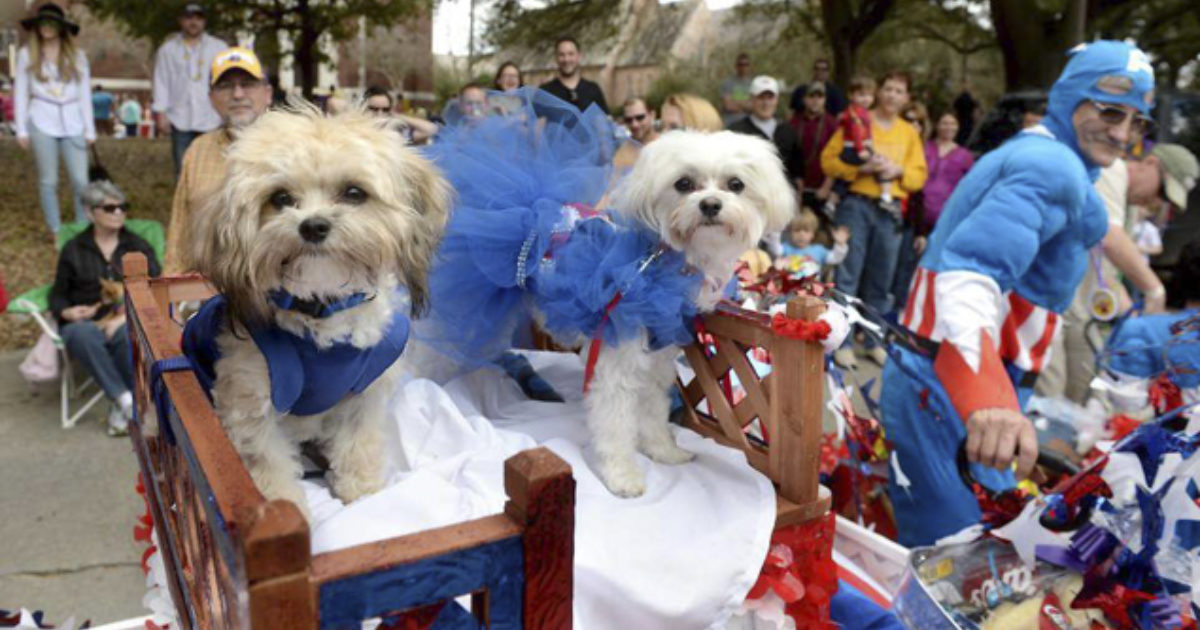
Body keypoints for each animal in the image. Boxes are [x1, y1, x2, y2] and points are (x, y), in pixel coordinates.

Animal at [187, 105, 451, 513]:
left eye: (354, 192)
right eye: (280, 198)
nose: (313, 226)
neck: (322, 314)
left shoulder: (364, 395)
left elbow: (358, 445)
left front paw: (361, 493)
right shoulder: (250, 401)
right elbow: (266, 462)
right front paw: (284, 508)